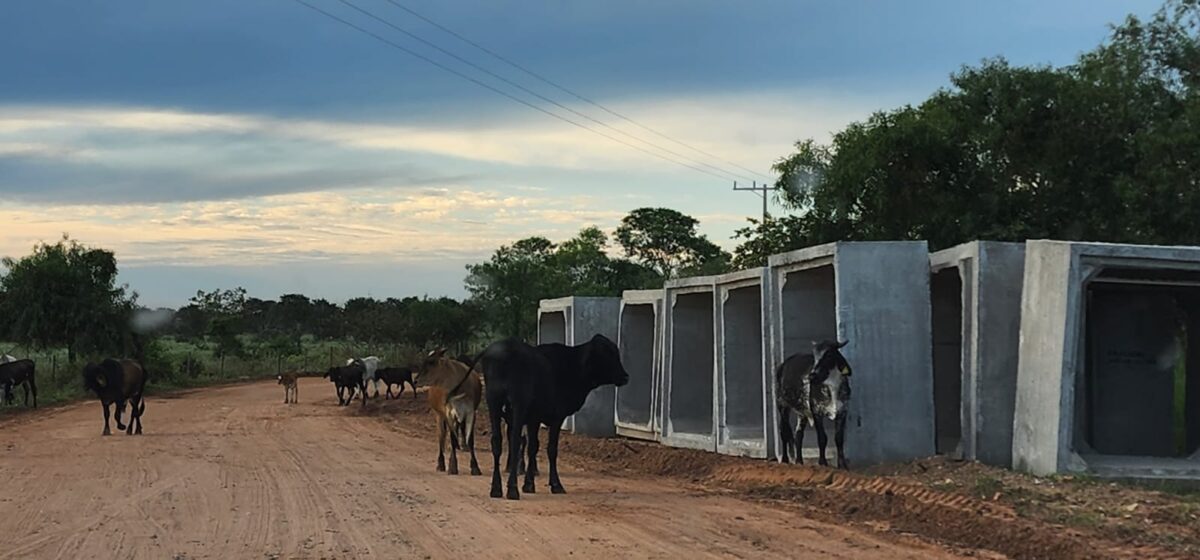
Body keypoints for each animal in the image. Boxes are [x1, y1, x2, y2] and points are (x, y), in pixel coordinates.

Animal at [475, 335, 628, 501]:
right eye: (608, 354)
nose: (625, 376)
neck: (572, 365)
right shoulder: (556, 417)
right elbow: (551, 449)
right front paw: (556, 484)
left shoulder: (534, 419)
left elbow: (533, 447)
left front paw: (529, 484)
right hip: (517, 405)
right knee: (515, 442)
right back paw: (512, 489)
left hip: (493, 404)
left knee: (497, 442)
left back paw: (496, 489)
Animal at [777, 340, 854, 472]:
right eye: (814, 356)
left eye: (829, 354)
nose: (812, 376)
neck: (832, 387)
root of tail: (785, 363)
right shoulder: (817, 412)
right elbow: (822, 438)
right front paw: (822, 462)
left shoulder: (843, 411)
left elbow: (839, 439)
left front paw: (842, 465)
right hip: (782, 405)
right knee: (784, 431)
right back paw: (785, 460)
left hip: (802, 412)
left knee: (798, 435)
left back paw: (799, 461)